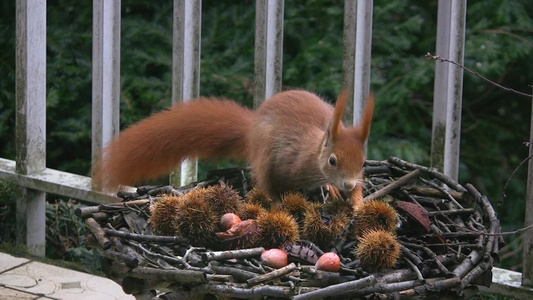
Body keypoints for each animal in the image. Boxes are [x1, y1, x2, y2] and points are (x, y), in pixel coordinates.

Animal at [91, 89, 374, 209]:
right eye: (332, 161)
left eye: (363, 162)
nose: (348, 184)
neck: (313, 152)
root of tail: (251, 128)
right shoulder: (285, 158)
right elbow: (270, 187)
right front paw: (277, 205)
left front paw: (356, 200)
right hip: (262, 150)